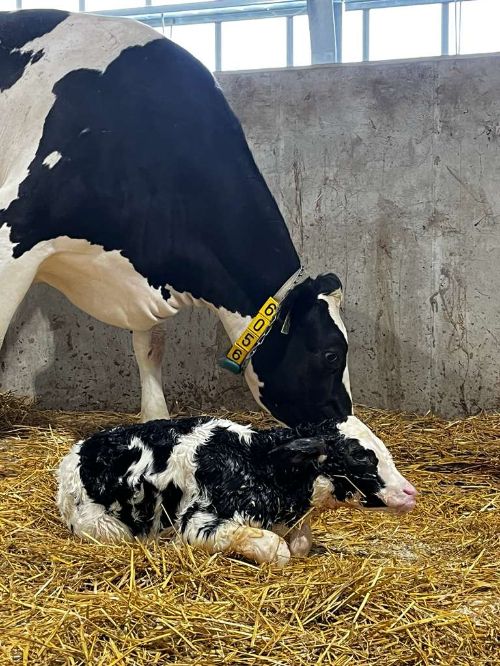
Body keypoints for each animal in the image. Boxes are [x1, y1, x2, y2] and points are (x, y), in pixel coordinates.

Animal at [57, 415, 417, 566]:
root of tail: (74, 454)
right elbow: (278, 550)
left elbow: (300, 544)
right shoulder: (198, 523)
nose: (410, 492)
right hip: (103, 528)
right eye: (360, 456)